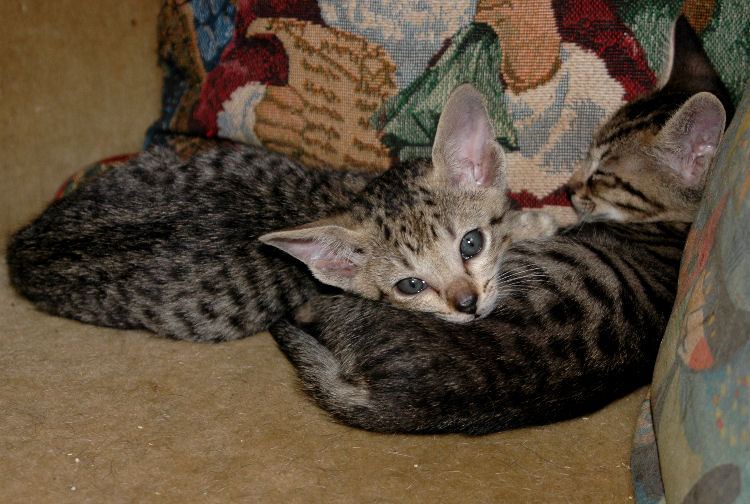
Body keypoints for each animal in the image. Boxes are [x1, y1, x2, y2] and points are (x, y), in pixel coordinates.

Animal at [6, 85, 555, 342]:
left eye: (470, 243)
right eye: (410, 285)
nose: (467, 304)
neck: (345, 192)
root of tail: (23, 245)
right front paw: (541, 221)